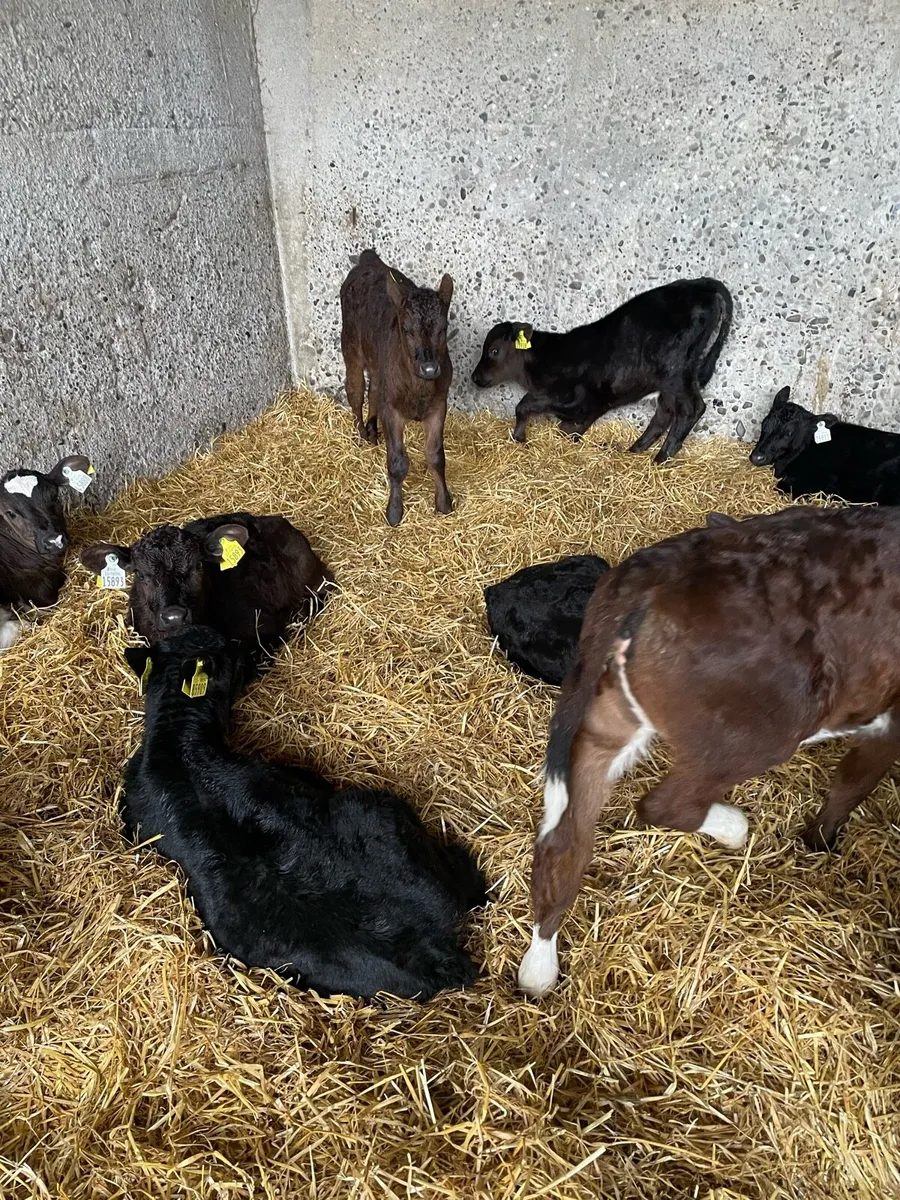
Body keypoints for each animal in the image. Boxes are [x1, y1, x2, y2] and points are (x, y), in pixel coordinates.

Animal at [340, 249, 454, 526]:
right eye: (406, 328)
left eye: (443, 328)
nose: (430, 369)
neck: (418, 389)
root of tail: (369, 259)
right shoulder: (392, 410)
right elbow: (397, 462)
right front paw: (394, 512)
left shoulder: (439, 404)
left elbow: (436, 456)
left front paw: (444, 503)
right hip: (350, 347)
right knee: (355, 392)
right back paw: (362, 434)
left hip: (378, 366)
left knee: (373, 389)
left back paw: (372, 430)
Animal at [471, 278, 733, 462]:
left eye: (494, 350)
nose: (475, 377)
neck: (549, 358)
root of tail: (699, 284)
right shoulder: (592, 405)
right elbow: (568, 428)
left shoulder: (576, 398)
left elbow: (525, 406)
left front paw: (520, 437)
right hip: (670, 378)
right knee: (665, 411)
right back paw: (634, 451)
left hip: (676, 372)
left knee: (690, 408)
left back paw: (660, 460)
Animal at [518, 505, 900, 997]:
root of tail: (654, 570)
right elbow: (853, 781)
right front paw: (820, 842)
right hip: (760, 730)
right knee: (665, 804)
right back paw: (734, 827)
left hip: (608, 715)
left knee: (564, 841)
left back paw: (538, 972)